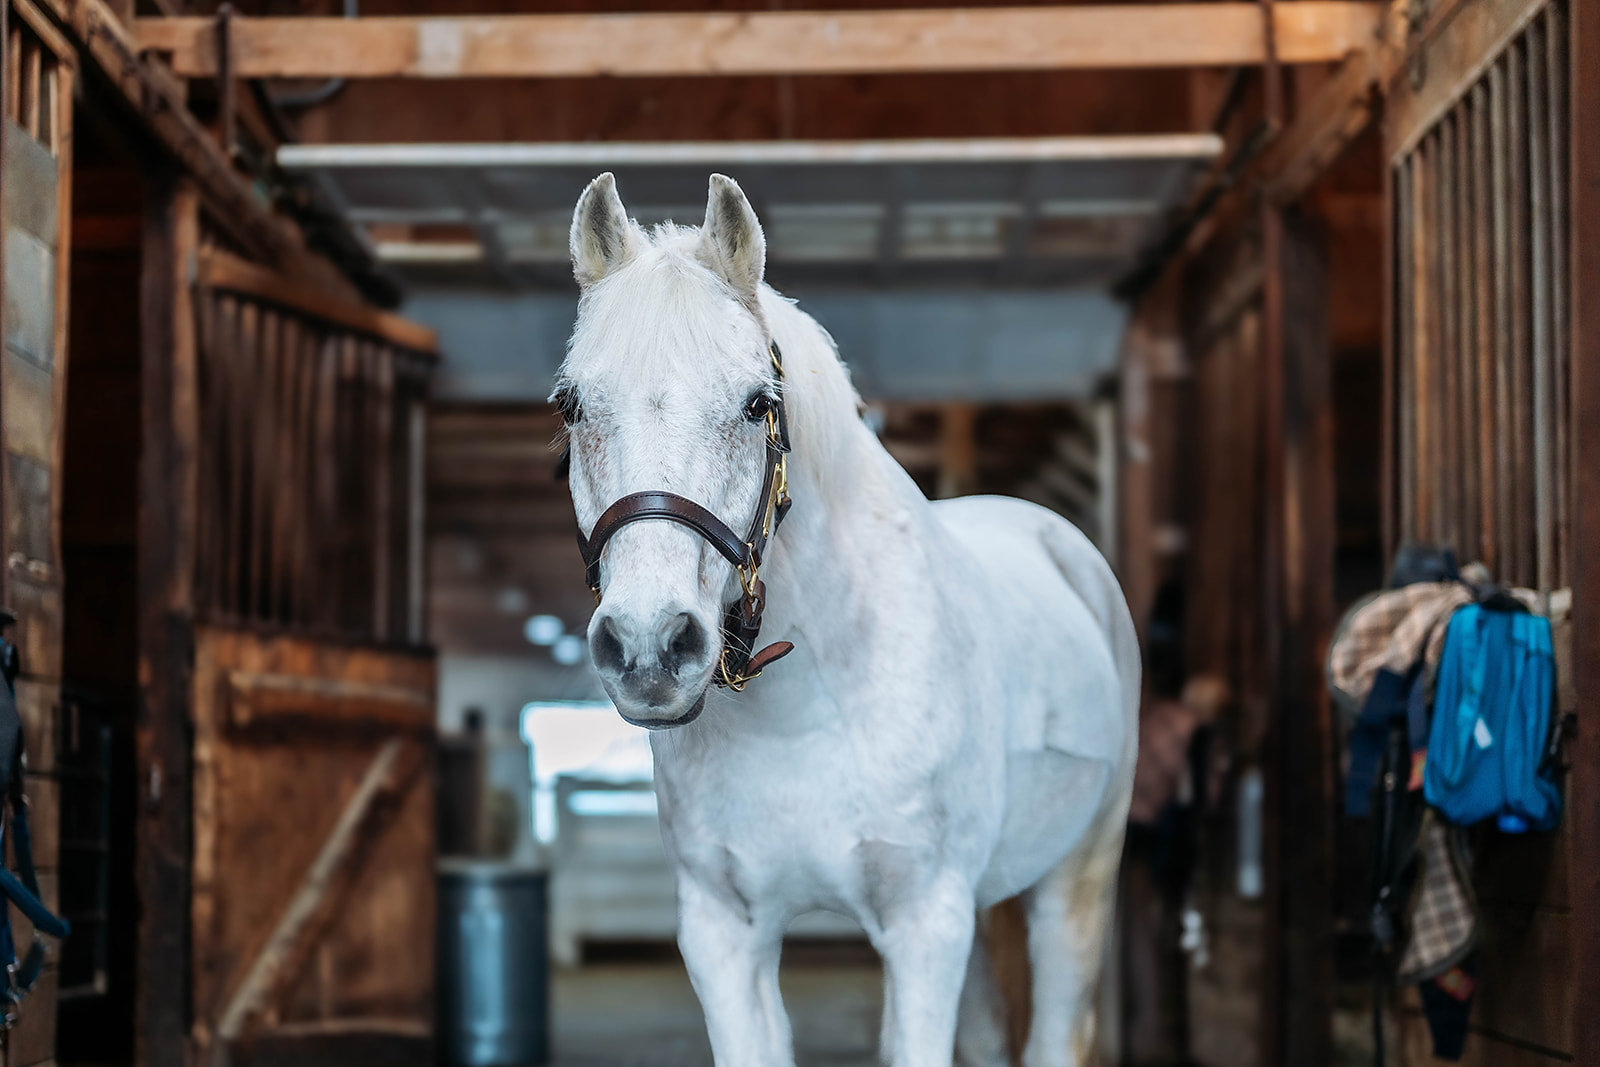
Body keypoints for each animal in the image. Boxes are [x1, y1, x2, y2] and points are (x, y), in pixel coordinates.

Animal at [555, 171, 1140, 1067]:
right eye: (574, 406)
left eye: (756, 403)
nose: (649, 645)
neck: (806, 711)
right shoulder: (724, 936)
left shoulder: (926, 925)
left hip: (1075, 876)